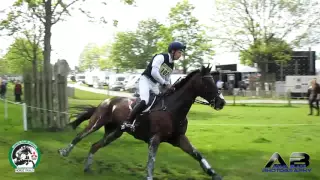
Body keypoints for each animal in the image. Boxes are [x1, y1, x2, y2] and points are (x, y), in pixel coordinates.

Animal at [58, 65, 226, 180]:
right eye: (207, 83)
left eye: (214, 82)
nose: (222, 102)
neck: (173, 109)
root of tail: (106, 101)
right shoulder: (155, 139)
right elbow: (151, 162)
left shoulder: (178, 139)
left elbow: (197, 154)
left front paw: (214, 174)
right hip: (96, 123)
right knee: (80, 136)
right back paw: (64, 152)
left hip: (114, 133)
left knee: (95, 145)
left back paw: (87, 168)